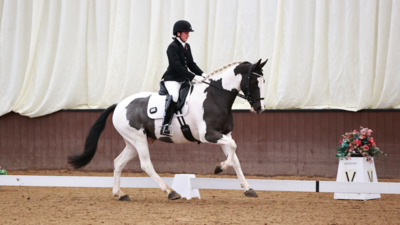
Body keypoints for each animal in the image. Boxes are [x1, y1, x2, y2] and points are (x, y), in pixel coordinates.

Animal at [69, 58, 268, 200]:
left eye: (263, 81)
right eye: (254, 81)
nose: (259, 108)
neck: (214, 96)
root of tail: (119, 104)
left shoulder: (224, 134)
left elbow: (235, 159)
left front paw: (248, 188)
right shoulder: (209, 135)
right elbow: (234, 148)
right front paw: (219, 168)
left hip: (132, 142)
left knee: (118, 162)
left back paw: (120, 194)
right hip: (138, 140)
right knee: (146, 164)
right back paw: (171, 192)